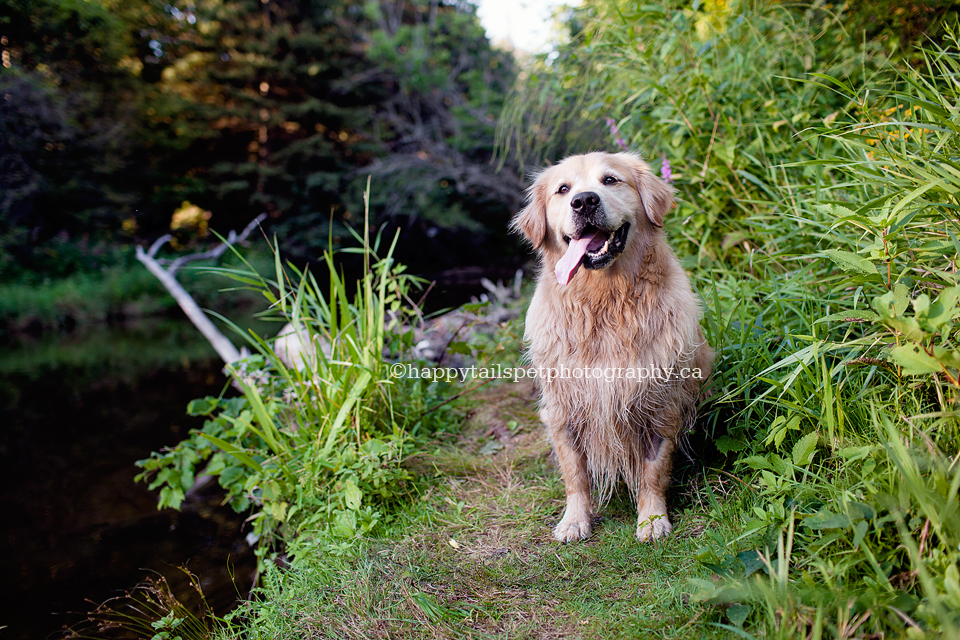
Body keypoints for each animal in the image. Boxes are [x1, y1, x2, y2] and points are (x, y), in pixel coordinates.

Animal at [510, 152, 712, 544]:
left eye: (610, 180)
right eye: (563, 189)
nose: (584, 201)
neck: (604, 301)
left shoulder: (660, 405)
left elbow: (653, 470)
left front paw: (652, 520)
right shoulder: (563, 408)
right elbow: (575, 473)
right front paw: (574, 521)